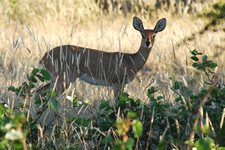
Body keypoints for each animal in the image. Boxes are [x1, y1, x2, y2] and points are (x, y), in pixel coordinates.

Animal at [38, 17, 166, 102]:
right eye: (142, 34)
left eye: (154, 35)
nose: (148, 43)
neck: (131, 60)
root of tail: (44, 57)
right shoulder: (117, 83)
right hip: (64, 80)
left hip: (55, 79)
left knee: (38, 92)